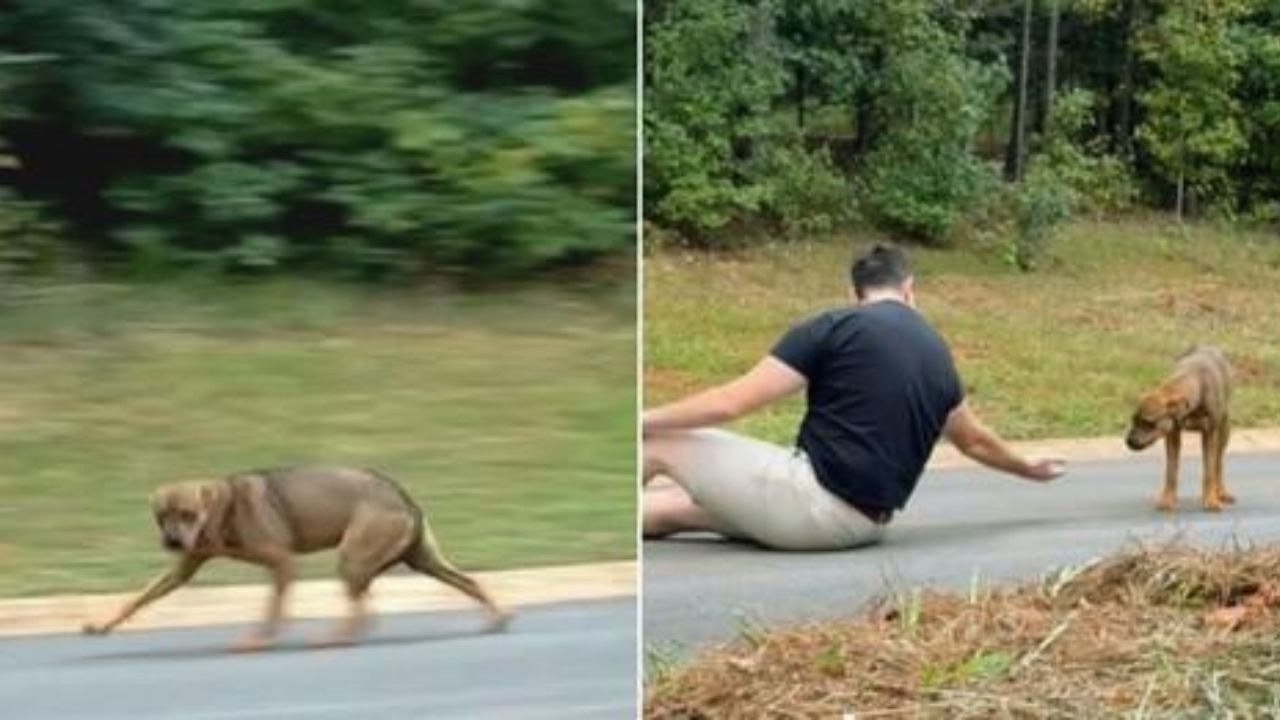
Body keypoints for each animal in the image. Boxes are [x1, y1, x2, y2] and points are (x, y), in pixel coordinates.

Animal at [78, 461, 509, 648]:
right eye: (161, 516)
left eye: (187, 513)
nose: (171, 542)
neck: (223, 510)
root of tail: (405, 498)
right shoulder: (182, 570)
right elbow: (137, 598)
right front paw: (101, 624)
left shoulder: (282, 561)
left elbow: (273, 608)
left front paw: (260, 638)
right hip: (420, 560)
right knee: (467, 582)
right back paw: (498, 618)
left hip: (353, 557)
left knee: (361, 609)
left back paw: (336, 637)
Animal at [1126, 345, 1233, 509]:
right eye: (1134, 420)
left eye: (1149, 423)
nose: (1129, 441)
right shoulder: (1172, 434)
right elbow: (1171, 471)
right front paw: (1167, 499)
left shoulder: (1210, 434)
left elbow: (1209, 470)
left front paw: (1210, 500)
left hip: (1224, 430)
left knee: (1218, 464)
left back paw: (1220, 492)